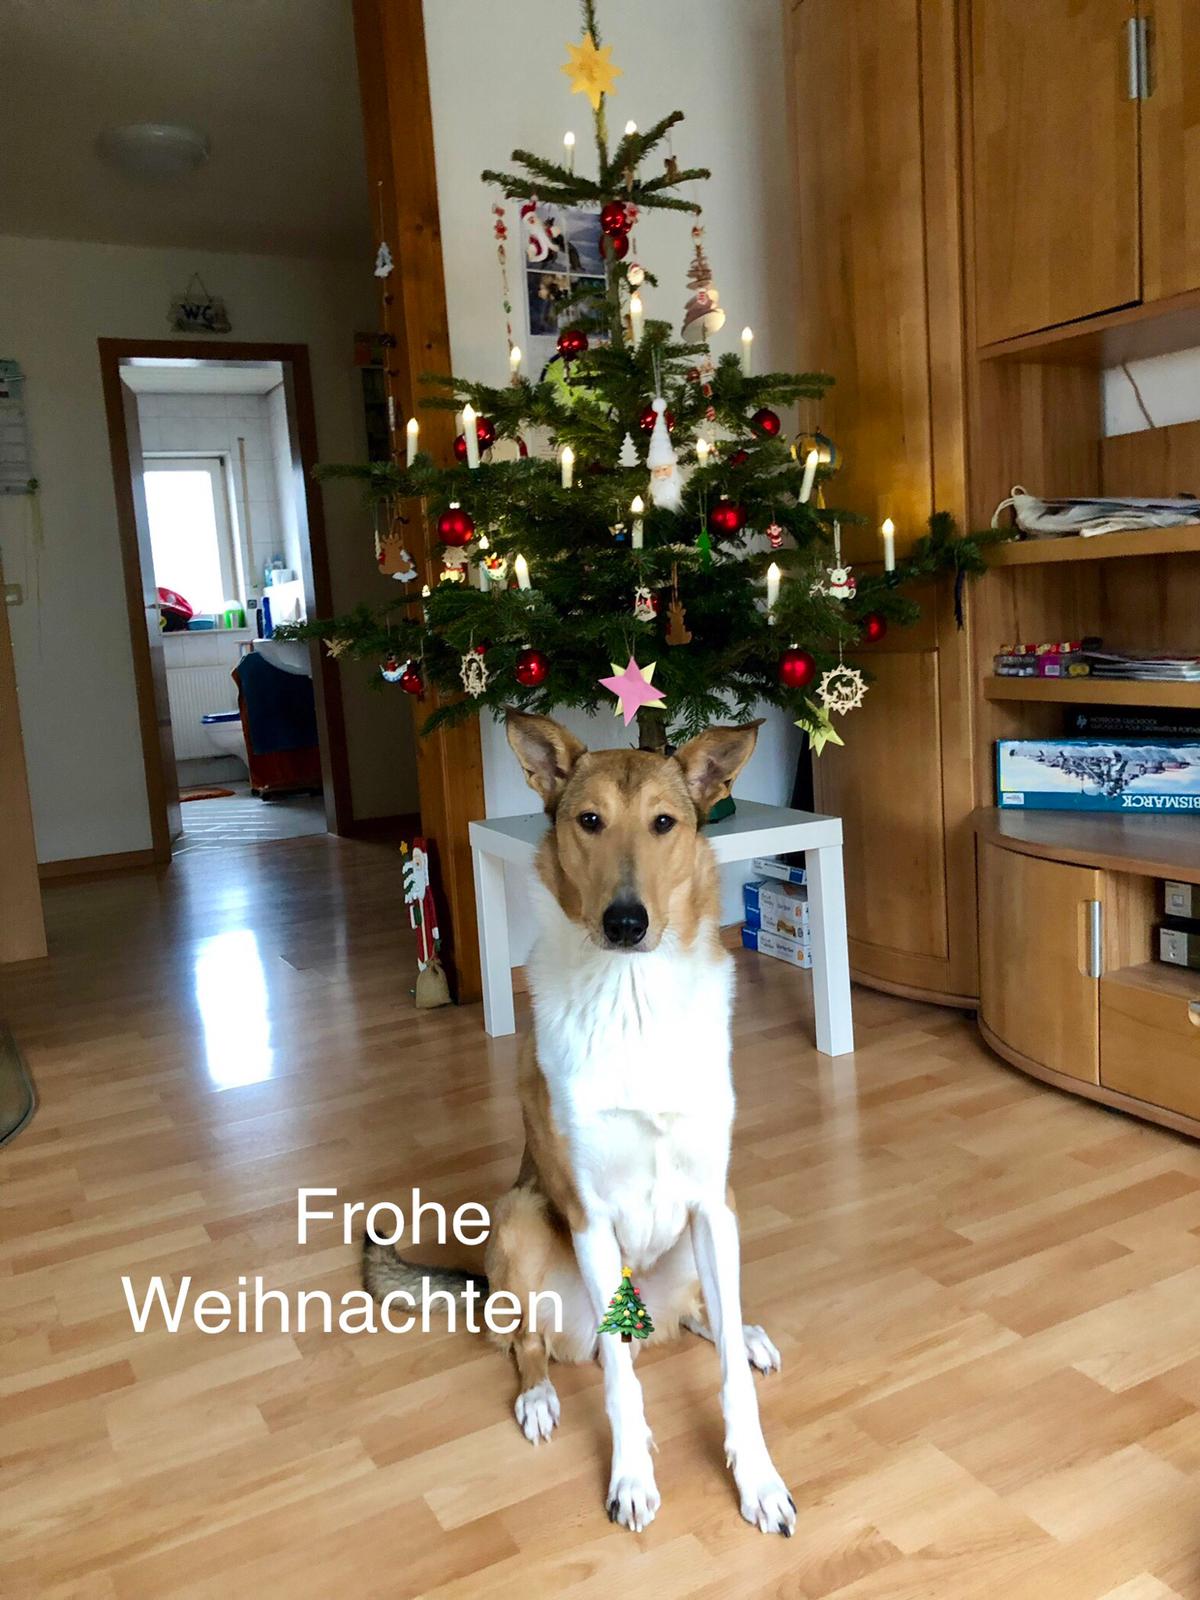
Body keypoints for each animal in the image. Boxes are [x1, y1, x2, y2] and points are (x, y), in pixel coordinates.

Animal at [365, 710, 795, 1535]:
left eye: (664, 824)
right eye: (588, 821)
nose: (626, 923)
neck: (633, 994)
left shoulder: (710, 1200)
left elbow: (729, 1373)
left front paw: (757, 1479)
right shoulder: (591, 1214)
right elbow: (623, 1384)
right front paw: (631, 1478)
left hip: (715, 1229)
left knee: (704, 1317)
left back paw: (746, 1330)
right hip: (522, 1216)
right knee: (526, 1341)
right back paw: (538, 1398)